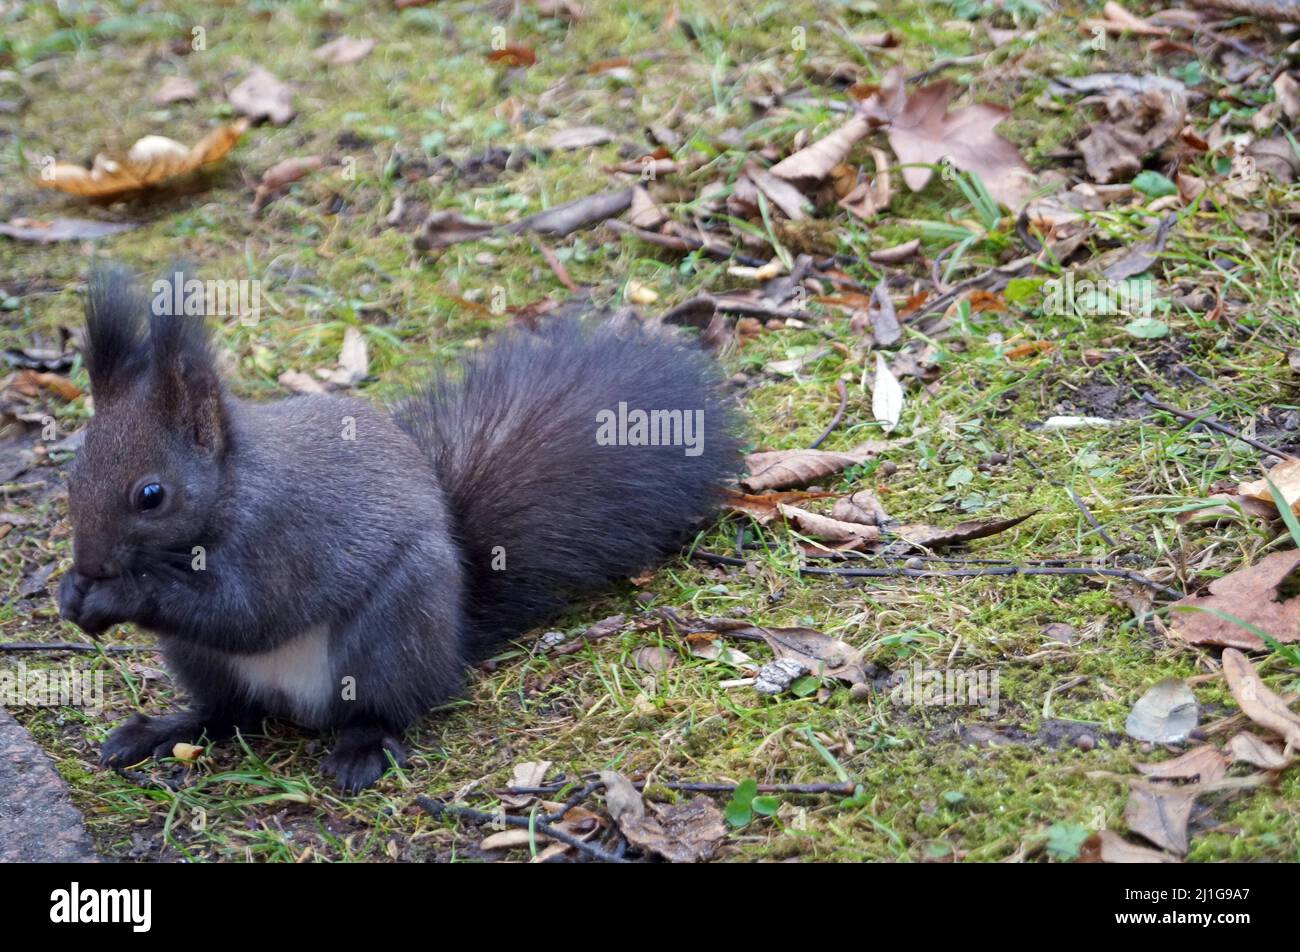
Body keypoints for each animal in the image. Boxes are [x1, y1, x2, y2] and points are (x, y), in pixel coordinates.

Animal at [58, 266, 740, 790]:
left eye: (151, 496)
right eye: (73, 469)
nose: (91, 563)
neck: (229, 489)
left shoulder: (284, 536)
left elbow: (249, 613)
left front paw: (122, 594)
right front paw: (71, 593)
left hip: (393, 633)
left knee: (384, 707)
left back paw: (363, 747)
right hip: (201, 661)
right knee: (230, 711)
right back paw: (163, 730)